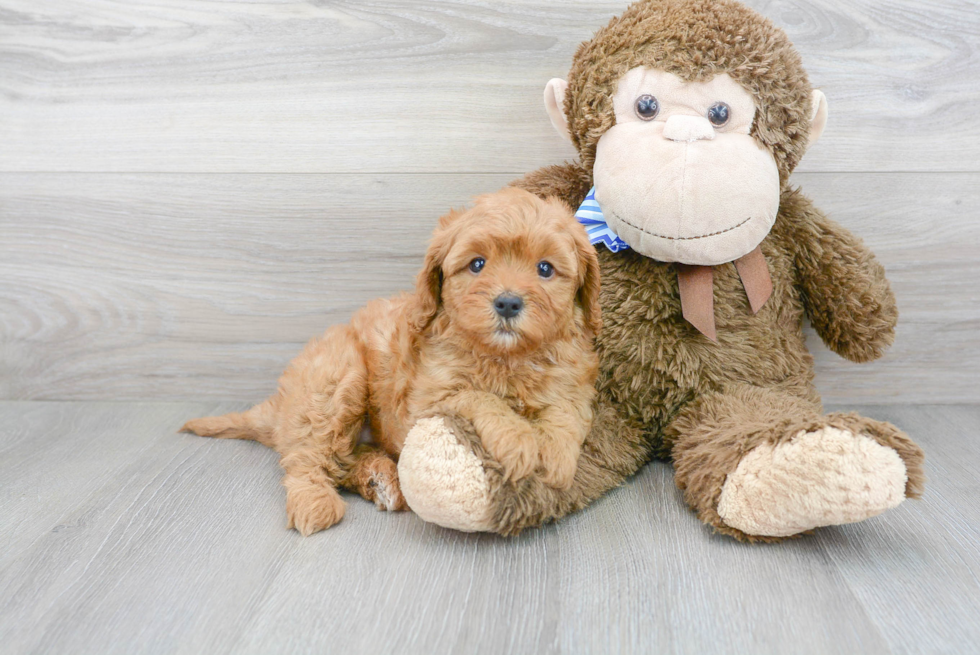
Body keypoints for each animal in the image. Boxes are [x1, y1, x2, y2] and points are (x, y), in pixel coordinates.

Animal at [180, 187, 600, 536]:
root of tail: (280, 406)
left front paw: (557, 456)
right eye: (477, 264)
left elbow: (566, 412)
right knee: (308, 459)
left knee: (343, 460)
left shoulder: (574, 381)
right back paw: (316, 502)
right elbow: (480, 398)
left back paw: (381, 480)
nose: (508, 302)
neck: (505, 357)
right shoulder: (427, 400)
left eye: (545, 268)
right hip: (335, 377)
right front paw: (519, 441)